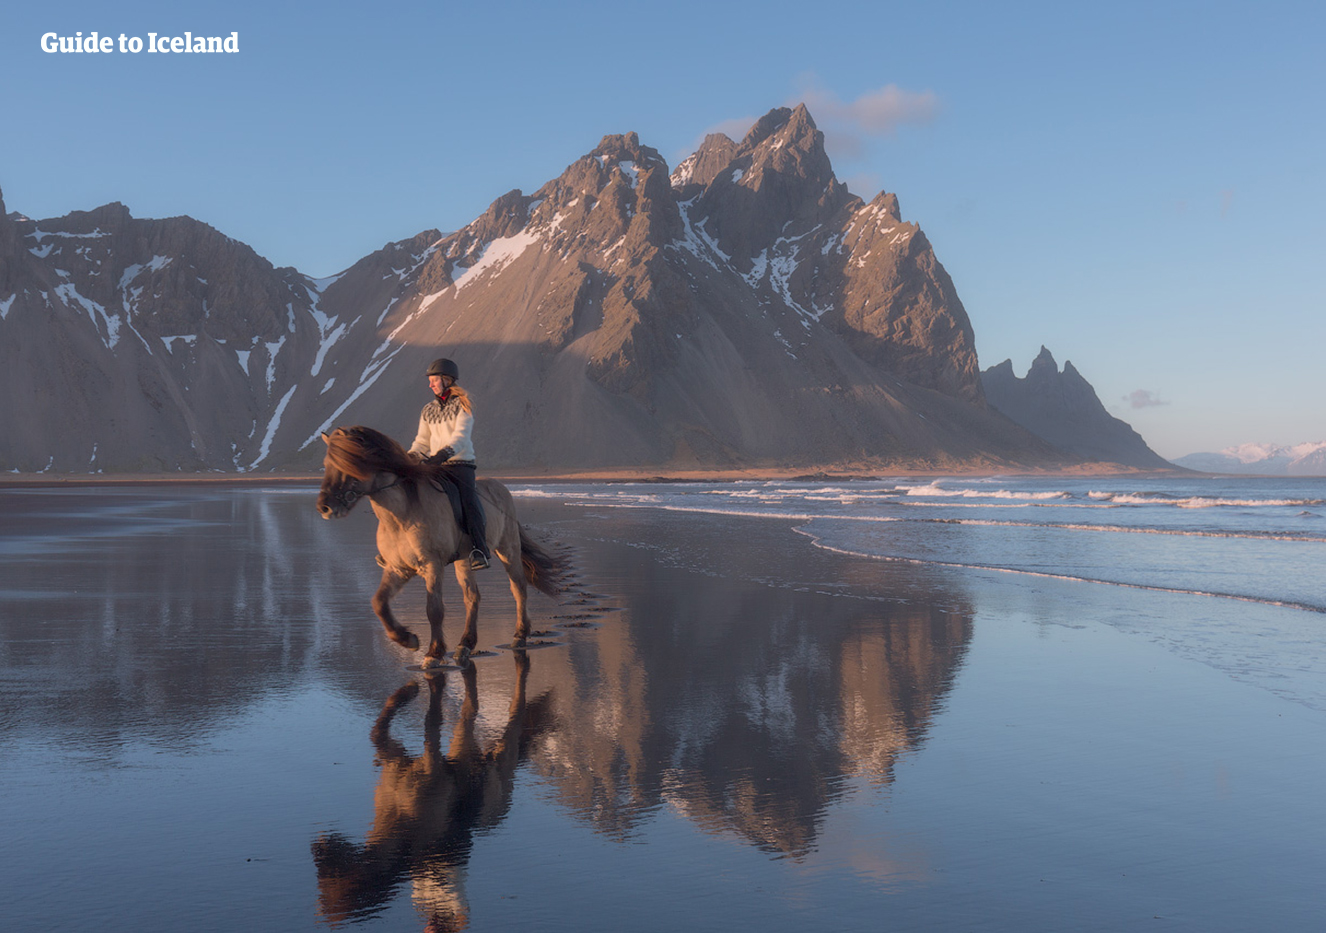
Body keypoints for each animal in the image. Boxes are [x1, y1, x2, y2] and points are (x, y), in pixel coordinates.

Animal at [320, 426, 570, 667]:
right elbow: (378, 602)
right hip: (464, 560)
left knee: (518, 589)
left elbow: (434, 610)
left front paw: (433, 654)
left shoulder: (432, 565)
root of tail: (501, 487)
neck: (401, 516)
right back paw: (465, 645)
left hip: (507, 550)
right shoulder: (398, 569)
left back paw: (519, 636)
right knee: (472, 597)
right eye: (326, 465)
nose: (324, 507)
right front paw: (408, 639)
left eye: (347, 462)